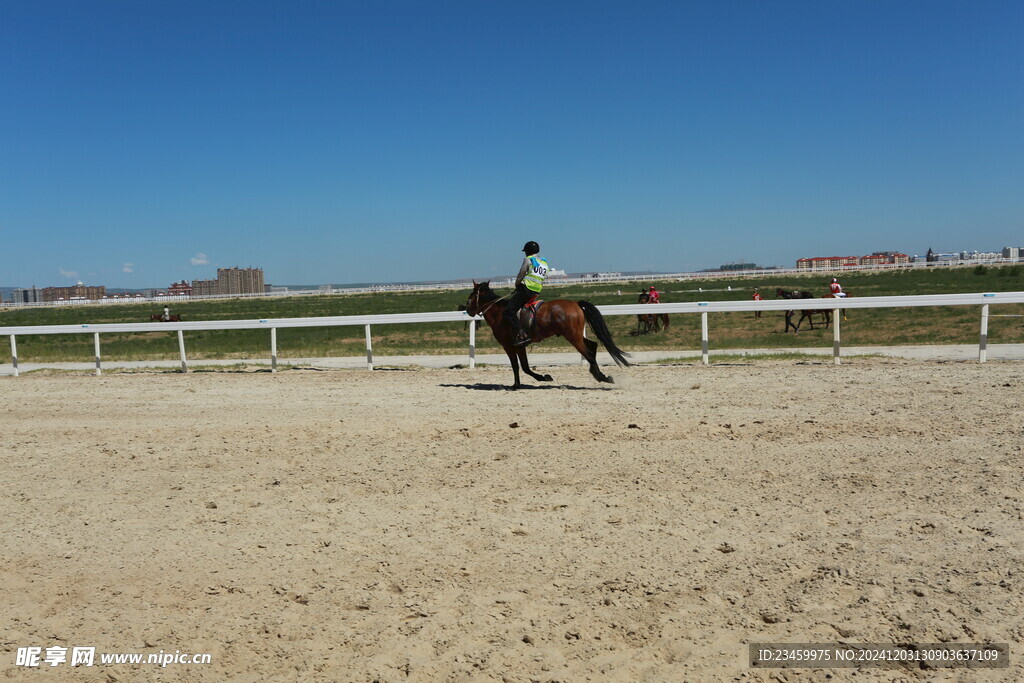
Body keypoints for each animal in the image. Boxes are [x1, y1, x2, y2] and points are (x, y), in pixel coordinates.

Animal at [466, 282, 630, 389]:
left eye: (471, 296)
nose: (467, 310)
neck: (500, 313)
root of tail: (576, 304)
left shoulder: (509, 346)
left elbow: (517, 366)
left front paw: (517, 384)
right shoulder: (520, 346)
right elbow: (524, 366)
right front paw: (543, 377)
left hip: (572, 337)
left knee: (588, 353)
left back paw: (601, 376)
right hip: (576, 335)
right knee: (593, 345)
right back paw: (598, 374)